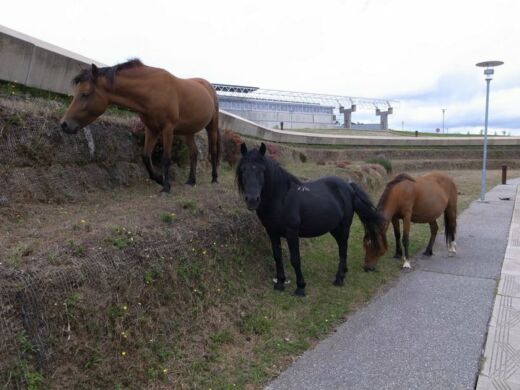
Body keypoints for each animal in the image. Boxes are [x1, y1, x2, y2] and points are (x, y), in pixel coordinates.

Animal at [60, 59, 219, 193]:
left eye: (85, 94)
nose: (64, 124)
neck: (154, 90)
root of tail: (207, 85)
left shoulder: (168, 128)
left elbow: (166, 158)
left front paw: (166, 188)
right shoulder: (151, 129)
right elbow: (145, 156)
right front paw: (160, 180)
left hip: (212, 126)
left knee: (213, 151)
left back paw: (214, 178)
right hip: (188, 131)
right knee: (194, 153)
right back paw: (191, 181)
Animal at [238, 143, 384, 296]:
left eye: (262, 171)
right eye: (243, 170)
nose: (252, 200)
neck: (281, 199)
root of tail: (349, 186)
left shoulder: (292, 232)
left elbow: (295, 259)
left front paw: (300, 287)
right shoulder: (272, 232)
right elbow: (277, 256)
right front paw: (280, 283)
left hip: (344, 226)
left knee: (343, 249)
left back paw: (339, 278)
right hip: (334, 228)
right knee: (341, 247)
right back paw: (344, 272)